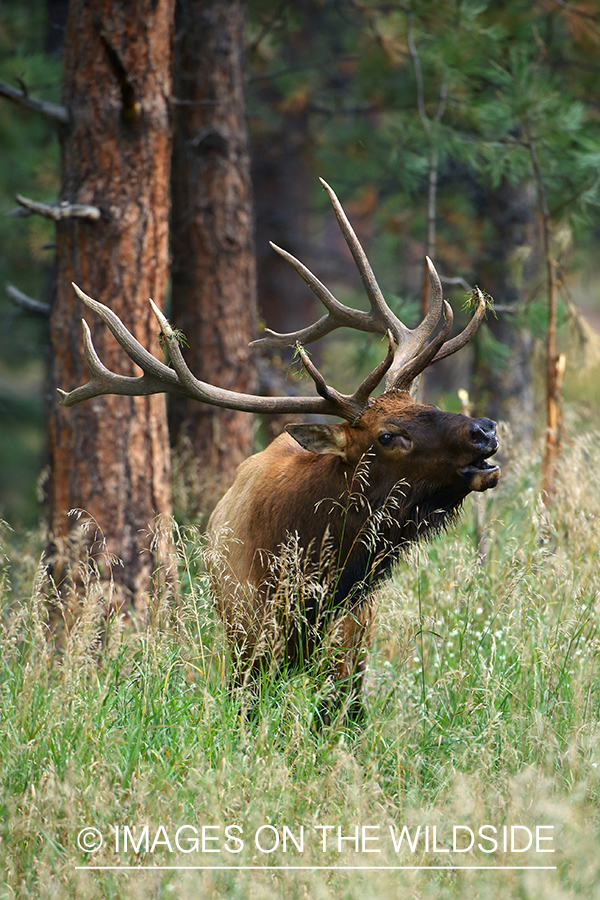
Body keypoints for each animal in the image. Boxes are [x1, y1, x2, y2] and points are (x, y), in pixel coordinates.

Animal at [62, 178, 502, 724]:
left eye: (428, 403)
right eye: (387, 435)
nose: (484, 430)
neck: (309, 577)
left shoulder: (347, 654)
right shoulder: (250, 645)